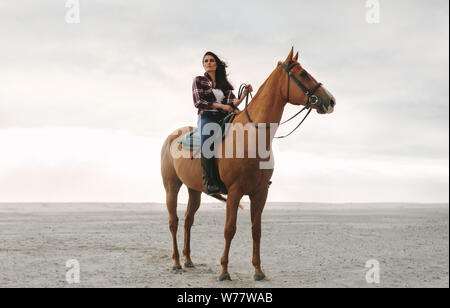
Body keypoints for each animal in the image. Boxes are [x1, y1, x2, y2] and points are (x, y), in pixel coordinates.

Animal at [161, 48, 334, 282]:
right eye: (303, 74)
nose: (331, 100)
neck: (252, 137)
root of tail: (173, 136)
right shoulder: (234, 192)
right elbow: (229, 229)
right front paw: (224, 272)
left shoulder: (260, 193)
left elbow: (256, 230)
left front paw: (258, 271)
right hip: (172, 186)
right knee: (174, 221)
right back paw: (177, 263)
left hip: (194, 189)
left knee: (188, 220)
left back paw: (188, 260)